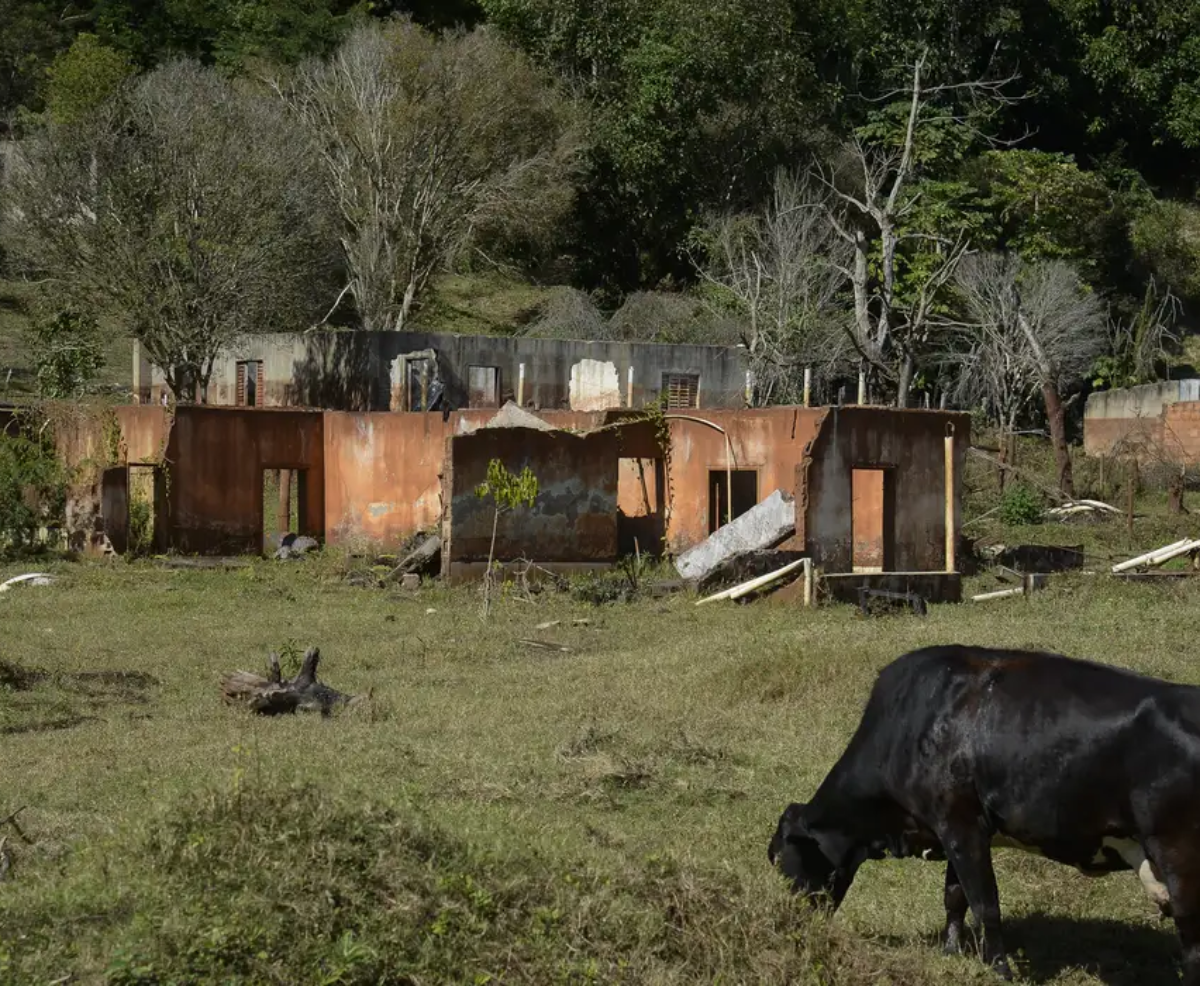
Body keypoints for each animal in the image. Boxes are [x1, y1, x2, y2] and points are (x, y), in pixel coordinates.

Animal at [768, 642, 1200, 983]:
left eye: (784, 860)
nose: (791, 924)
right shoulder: (951, 828)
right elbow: (954, 897)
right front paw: (950, 952)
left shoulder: (962, 825)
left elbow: (985, 903)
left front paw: (1001, 970)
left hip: (1178, 854)